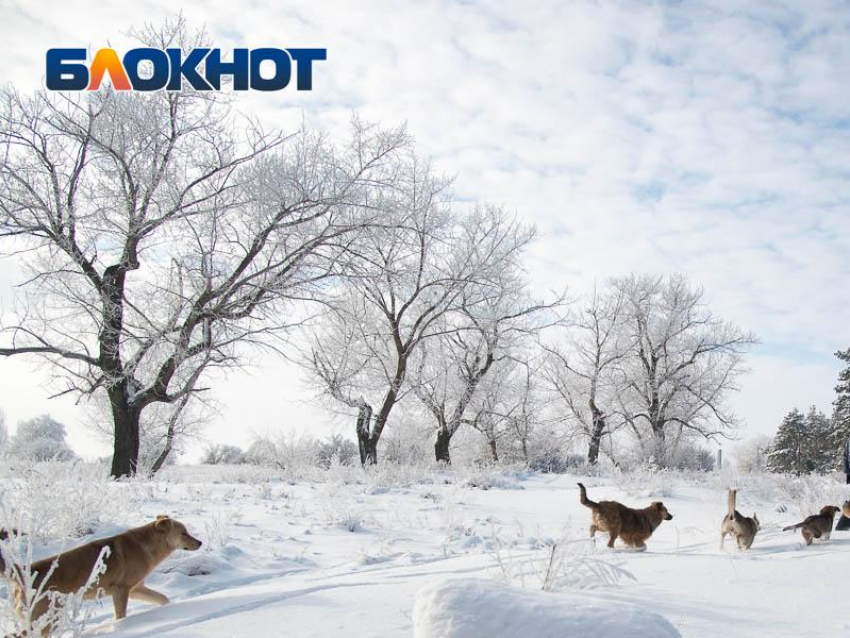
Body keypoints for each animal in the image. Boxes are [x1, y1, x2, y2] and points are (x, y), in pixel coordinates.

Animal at [0, 516, 202, 632]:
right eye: (184, 533)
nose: (200, 543)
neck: (147, 546)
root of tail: (21, 570)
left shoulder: (136, 589)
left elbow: (163, 599)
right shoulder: (121, 590)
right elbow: (121, 616)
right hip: (45, 618)